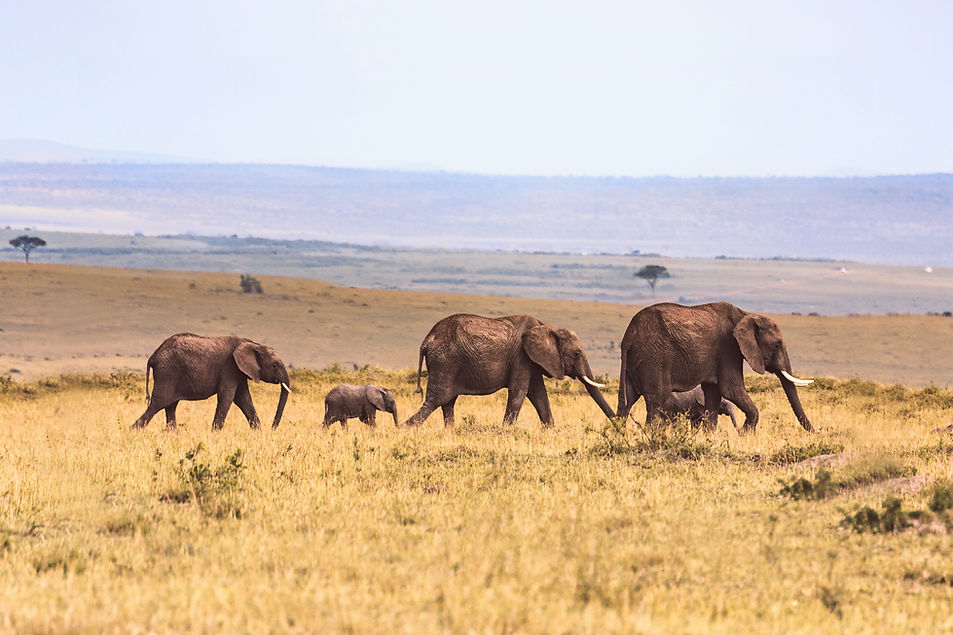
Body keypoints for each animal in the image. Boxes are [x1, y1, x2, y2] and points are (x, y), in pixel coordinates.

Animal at [131, 333, 291, 430]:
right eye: (274, 365)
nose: (273, 428)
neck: (253, 344)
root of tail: (153, 356)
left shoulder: (239, 372)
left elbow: (244, 399)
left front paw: (258, 432)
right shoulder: (230, 368)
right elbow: (227, 397)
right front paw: (215, 433)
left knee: (170, 406)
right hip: (167, 373)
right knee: (158, 404)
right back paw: (133, 431)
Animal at [403, 313, 616, 427]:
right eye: (578, 353)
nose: (619, 425)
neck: (547, 326)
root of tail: (426, 340)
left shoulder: (532, 361)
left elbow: (539, 394)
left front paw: (551, 430)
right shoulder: (522, 357)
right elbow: (519, 392)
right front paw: (505, 431)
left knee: (447, 402)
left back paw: (451, 432)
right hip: (445, 362)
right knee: (436, 400)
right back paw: (404, 428)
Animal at [617, 302, 814, 433]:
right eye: (778, 344)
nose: (813, 432)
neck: (745, 315)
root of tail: (628, 335)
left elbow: (713, 394)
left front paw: (709, 436)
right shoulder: (729, 349)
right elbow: (730, 389)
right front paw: (744, 435)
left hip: (634, 360)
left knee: (626, 400)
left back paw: (618, 436)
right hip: (654, 358)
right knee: (655, 400)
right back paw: (652, 438)